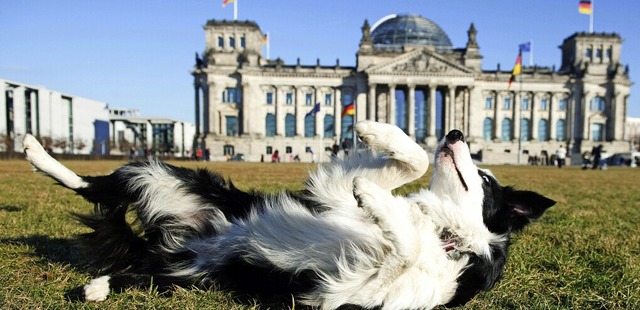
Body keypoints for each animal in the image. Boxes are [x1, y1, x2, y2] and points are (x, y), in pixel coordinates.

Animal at [22, 121, 556, 310]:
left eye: (484, 179)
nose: (455, 132)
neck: (445, 233)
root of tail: (182, 239)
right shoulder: (331, 194)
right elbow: (414, 163)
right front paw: (375, 129)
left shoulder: (351, 295)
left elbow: (401, 245)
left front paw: (377, 198)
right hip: (163, 177)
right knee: (94, 186)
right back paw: (33, 148)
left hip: (183, 273)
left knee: (134, 269)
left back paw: (96, 287)